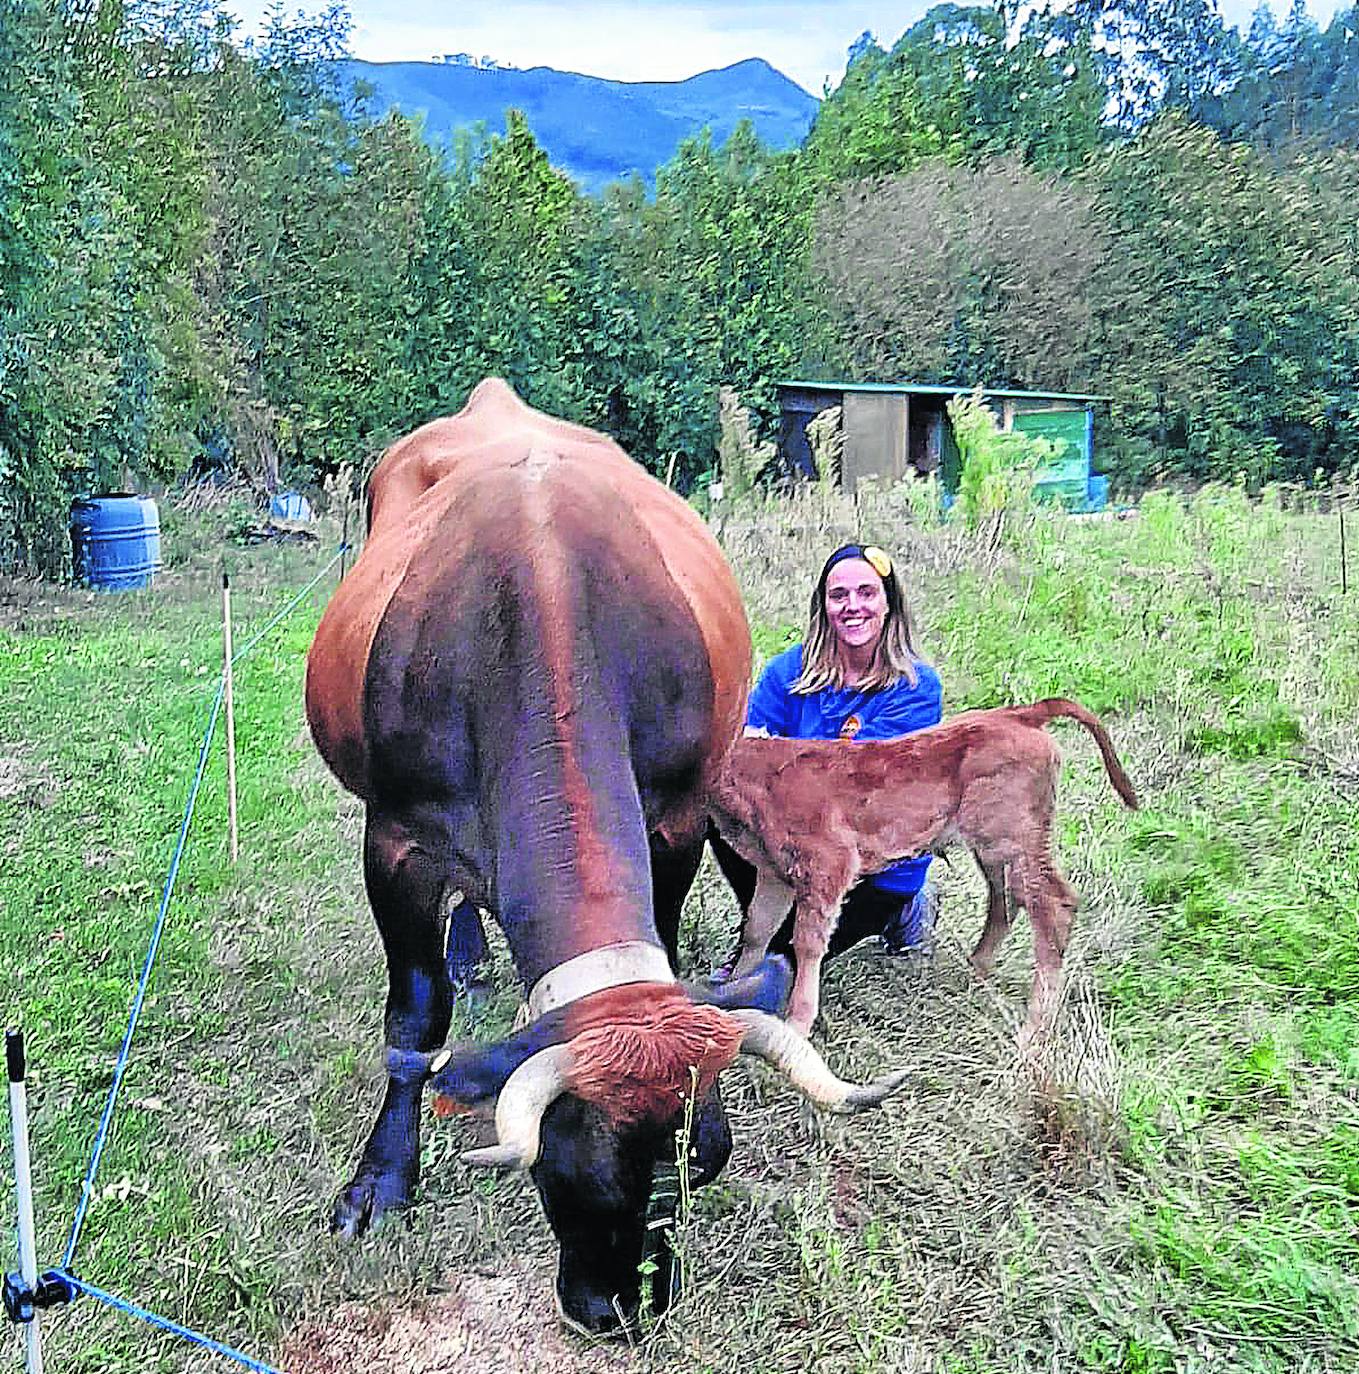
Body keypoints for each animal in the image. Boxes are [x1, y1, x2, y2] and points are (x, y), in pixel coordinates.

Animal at [306, 381, 901, 1335]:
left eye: (697, 1166)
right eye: (572, 1164)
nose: (624, 1307)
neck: (538, 609)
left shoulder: (677, 817)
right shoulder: (394, 841)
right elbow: (415, 1018)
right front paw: (382, 1178)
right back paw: (468, 950)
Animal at [709, 703, 1132, 1033]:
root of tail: (1018, 714)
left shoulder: (829, 863)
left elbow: (806, 942)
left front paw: (797, 1024)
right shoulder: (775, 871)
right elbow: (758, 929)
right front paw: (734, 988)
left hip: (1014, 837)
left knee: (1052, 904)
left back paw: (1033, 1031)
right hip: (995, 847)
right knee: (1005, 900)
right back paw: (976, 970)